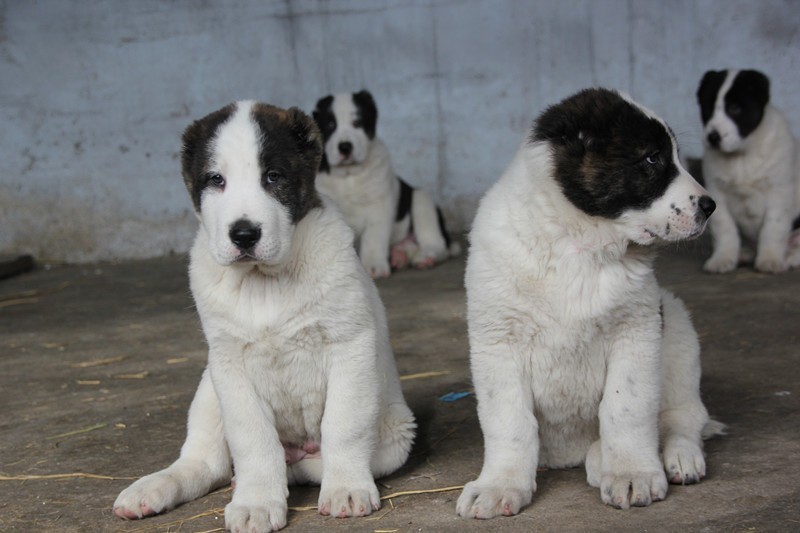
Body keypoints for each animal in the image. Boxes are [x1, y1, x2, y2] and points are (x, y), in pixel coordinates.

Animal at [115, 102, 416, 528]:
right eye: (216, 180)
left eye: (273, 176)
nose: (244, 235)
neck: (265, 282)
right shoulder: (229, 365)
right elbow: (253, 439)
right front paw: (255, 502)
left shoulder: (350, 345)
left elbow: (342, 426)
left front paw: (346, 489)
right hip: (209, 390)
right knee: (205, 462)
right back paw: (152, 489)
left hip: (397, 432)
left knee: (313, 462)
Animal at [314, 89, 462, 276]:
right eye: (330, 125)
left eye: (358, 123)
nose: (345, 147)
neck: (348, 177)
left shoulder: (380, 205)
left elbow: (374, 237)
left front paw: (373, 265)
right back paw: (399, 256)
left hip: (421, 201)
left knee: (436, 242)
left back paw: (426, 256)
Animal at [456, 89, 724, 516]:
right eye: (652, 158)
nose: (709, 206)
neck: (578, 243)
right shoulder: (497, 341)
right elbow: (509, 421)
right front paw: (499, 485)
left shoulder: (638, 330)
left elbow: (626, 407)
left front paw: (631, 473)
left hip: (677, 327)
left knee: (684, 417)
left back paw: (677, 457)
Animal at [692, 68, 800, 272]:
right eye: (708, 108)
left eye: (735, 108)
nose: (713, 137)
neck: (741, 157)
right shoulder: (717, 192)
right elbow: (725, 228)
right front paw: (723, 258)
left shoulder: (779, 191)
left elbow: (773, 227)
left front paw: (770, 259)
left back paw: (791, 257)